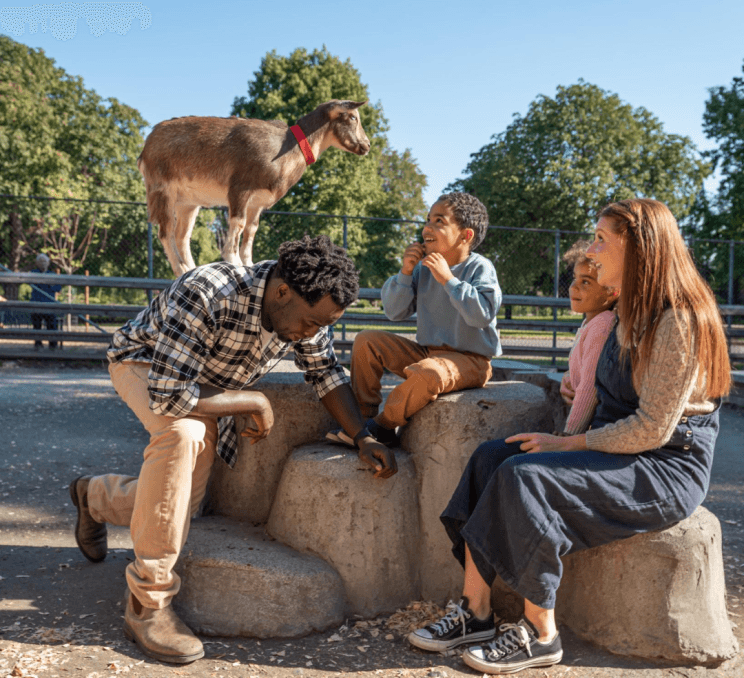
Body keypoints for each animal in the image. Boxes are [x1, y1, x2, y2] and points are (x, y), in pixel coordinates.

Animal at [137, 100, 370, 276]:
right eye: (353, 117)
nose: (367, 145)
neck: (287, 147)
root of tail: (144, 151)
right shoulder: (240, 189)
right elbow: (238, 225)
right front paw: (234, 262)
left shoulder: (257, 202)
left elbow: (251, 230)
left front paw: (249, 264)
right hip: (162, 190)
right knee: (166, 233)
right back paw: (182, 269)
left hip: (188, 202)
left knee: (182, 236)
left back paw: (192, 269)